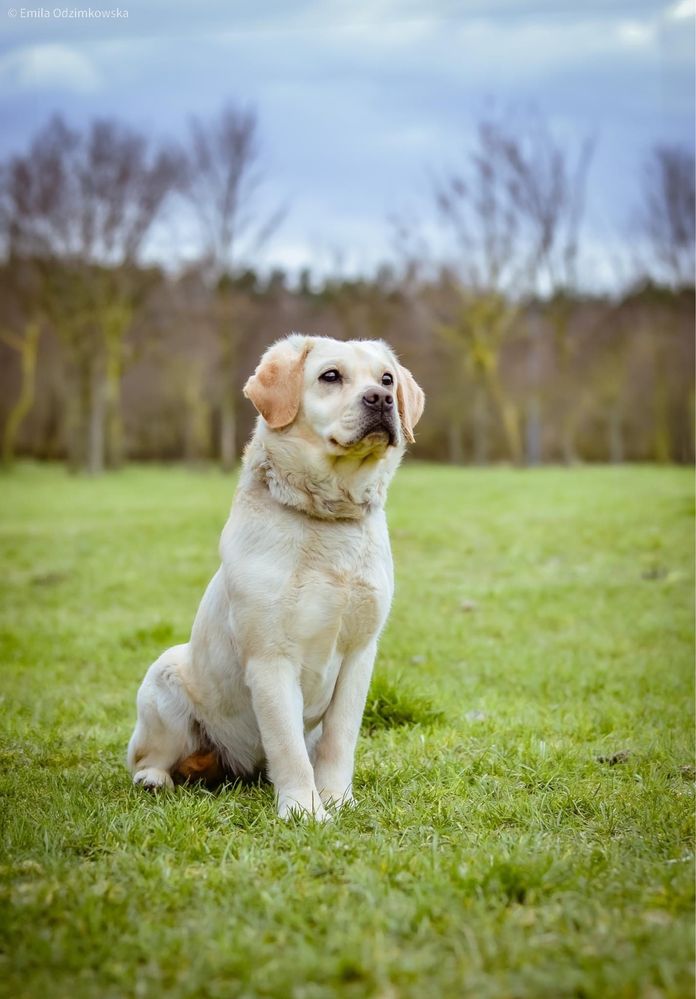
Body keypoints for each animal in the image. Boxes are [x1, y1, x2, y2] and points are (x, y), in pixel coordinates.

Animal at [128, 336, 426, 820]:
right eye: (330, 376)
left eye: (386, 379)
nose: (380, 400)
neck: (328, 519)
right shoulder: (271, 657)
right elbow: (287, 746)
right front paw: (304, 811)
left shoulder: (360, 655)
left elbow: (339, 740)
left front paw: (337, 799)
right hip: (164, 679)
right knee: (146, 757)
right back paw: (155, 778)